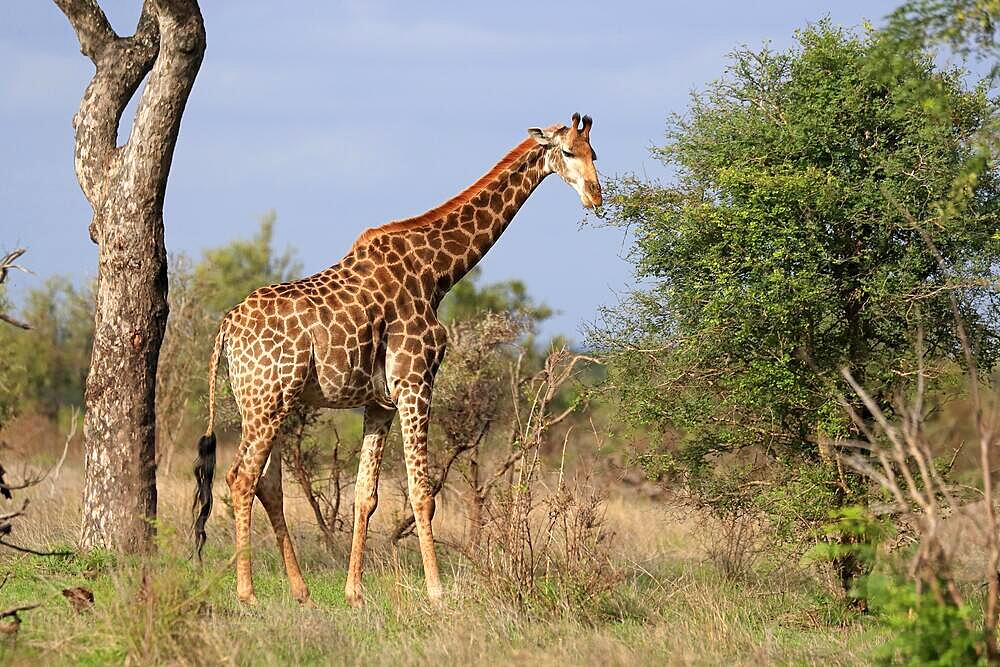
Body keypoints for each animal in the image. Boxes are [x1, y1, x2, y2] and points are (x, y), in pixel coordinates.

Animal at [194, 113, 600, 604]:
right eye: (567, 151)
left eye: (595, 153)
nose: (596, 197)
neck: (437, 272)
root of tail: (225, 330)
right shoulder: (415, 382)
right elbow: (421, 491)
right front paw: (437, 591)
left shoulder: (380, 402)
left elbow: (365, 494)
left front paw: (353, 591)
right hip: (266, 400)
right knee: (240, 477)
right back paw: (247, 592)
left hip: (269, 403)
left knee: (267, 483)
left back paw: (300, 589)